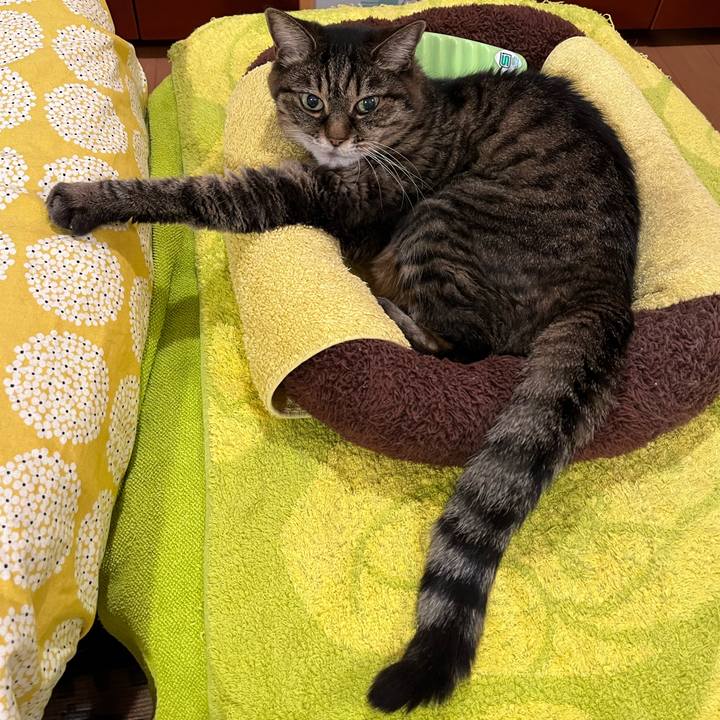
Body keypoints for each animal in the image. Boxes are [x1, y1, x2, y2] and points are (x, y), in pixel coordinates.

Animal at [46, 9, 639, 713]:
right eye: (311, 100)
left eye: (367, 104)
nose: (333, 138)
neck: (418, 115)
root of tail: (611, 290)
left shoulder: (309, 192)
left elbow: (194, 192)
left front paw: (88, 199)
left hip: (441, 220)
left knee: (464, 345)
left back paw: (380, 298)